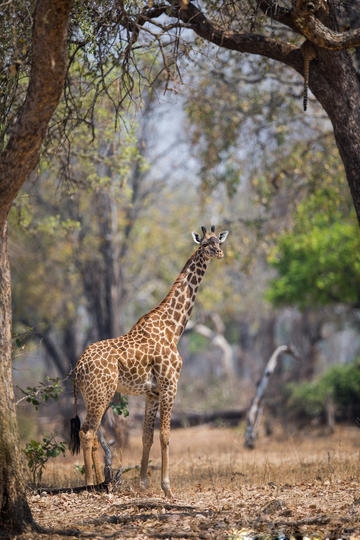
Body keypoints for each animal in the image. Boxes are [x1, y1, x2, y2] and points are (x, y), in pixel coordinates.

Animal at [69, 224, 228, 498]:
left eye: (218, 241)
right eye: (205, 244)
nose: (219, 253)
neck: (174, 328)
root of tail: (78, 367)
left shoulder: (151, 392)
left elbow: (147, 437)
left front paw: (143, 484)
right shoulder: (170, 384)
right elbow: (165, 435)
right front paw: (167, 488)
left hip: (93, 396)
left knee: (91, 433)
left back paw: (100, 482)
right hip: (101, 393)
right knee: (87, 432)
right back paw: (89, 484)